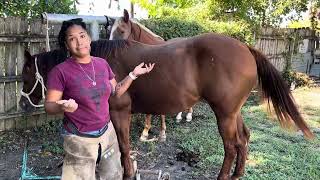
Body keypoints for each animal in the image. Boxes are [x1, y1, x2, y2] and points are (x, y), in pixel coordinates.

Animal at [18, 34, 314, 179]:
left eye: (26, 74)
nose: (22, 104)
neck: (97, 61)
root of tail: (245, 48)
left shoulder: (119, 112)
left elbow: (123, 146)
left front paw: (128, 173)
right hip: (233, 112)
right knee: (244, 139)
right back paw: (238, 174)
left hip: (224, 114)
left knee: (231, 146)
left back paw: (223, 175)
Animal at [107, 9, 192, 142]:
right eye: (109, 31)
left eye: (122, 31)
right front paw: (146, 132)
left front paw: (162, 133)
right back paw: (179, 116)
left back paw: (188, 115)